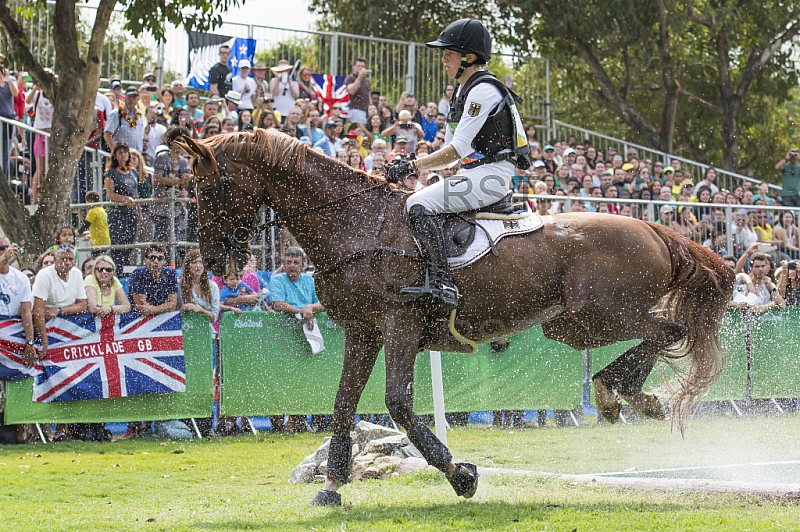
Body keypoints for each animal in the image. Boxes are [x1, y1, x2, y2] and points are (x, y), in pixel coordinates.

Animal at [178, 130, 736, 508]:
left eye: (208, 190)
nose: (214, 262)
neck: (354, 223)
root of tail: (654, 227)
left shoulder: (399, 324)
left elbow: (398, 403)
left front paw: (459, 474)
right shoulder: (362, 332)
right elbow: (341, 406)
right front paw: (332, 486)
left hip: (595, 317)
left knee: (669, 330)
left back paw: (622, 391)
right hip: (575, 323)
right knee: (664, 334)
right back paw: (622, 392)